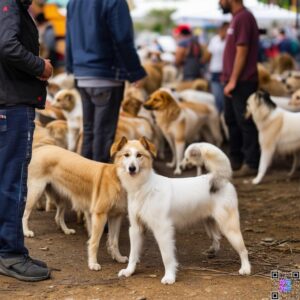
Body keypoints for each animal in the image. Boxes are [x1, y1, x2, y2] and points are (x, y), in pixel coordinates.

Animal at [115, 137, 251, 284]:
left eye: (139, 155)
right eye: (126, 155)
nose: (132, 168)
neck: (145, 187)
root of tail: (220, 178)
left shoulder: (163, 230)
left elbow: (167, 257)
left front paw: (169, 277)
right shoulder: (136, 228)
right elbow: (133, 254)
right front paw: (129, 271)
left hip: (229, 227)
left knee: (243, 250)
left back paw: (245, 269)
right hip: (209, 222)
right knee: (216, 237)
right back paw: (213, 251)